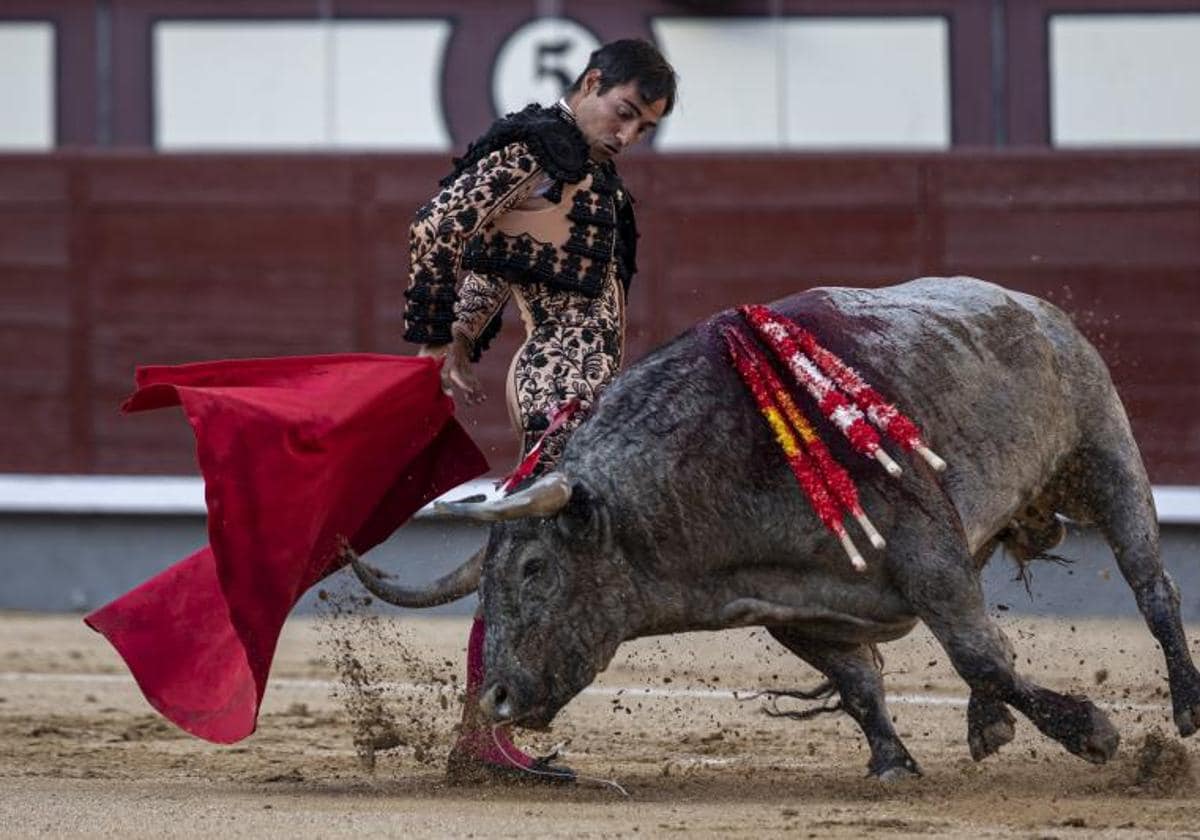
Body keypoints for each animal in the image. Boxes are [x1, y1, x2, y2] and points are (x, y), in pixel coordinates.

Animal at [352, 278, 1200, 777]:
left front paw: (1091, 733)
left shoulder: (928, 555)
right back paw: (988, 728)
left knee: (1151, 590)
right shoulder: (794, 606)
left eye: (535, 568)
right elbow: (864, 680)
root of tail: (1033, 307)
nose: (494, 699)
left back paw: (1187, 708)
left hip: (1104, 452)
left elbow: (978, 654)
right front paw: (892, 761)